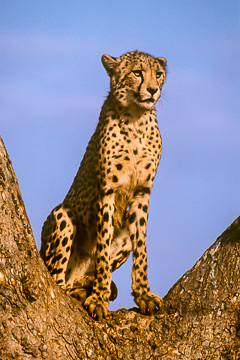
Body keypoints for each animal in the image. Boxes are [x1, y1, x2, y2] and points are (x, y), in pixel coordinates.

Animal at [40, 49, 167, 320]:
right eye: (137, 73)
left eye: (159, 74)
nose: (153, 90)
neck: (137, 118)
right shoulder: (107, 193)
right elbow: (102, 250)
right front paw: (99, 298)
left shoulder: (142, 194)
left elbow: (141, 250)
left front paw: (144, 295)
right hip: (62, 215)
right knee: (57, 281)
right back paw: (80, 289)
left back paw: (85, 285)